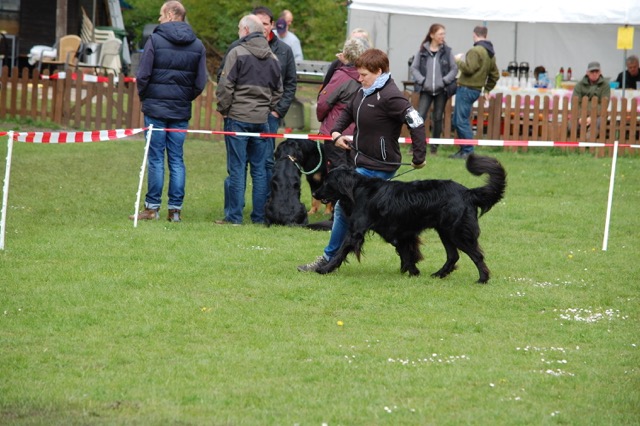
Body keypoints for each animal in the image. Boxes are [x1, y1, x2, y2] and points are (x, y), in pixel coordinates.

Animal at [312, 154, 508, 282]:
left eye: (327, 182)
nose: (314, 193)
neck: (357, 189)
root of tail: (468, 192)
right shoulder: (400, 234)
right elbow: (407, 254)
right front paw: (414, 272)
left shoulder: (356, 232)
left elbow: (341, 251)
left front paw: (325, 269)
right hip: (445, 231)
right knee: (453, 256)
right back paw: (439, 274)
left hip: (456, 232)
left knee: (476, 255)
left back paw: (483, 279)